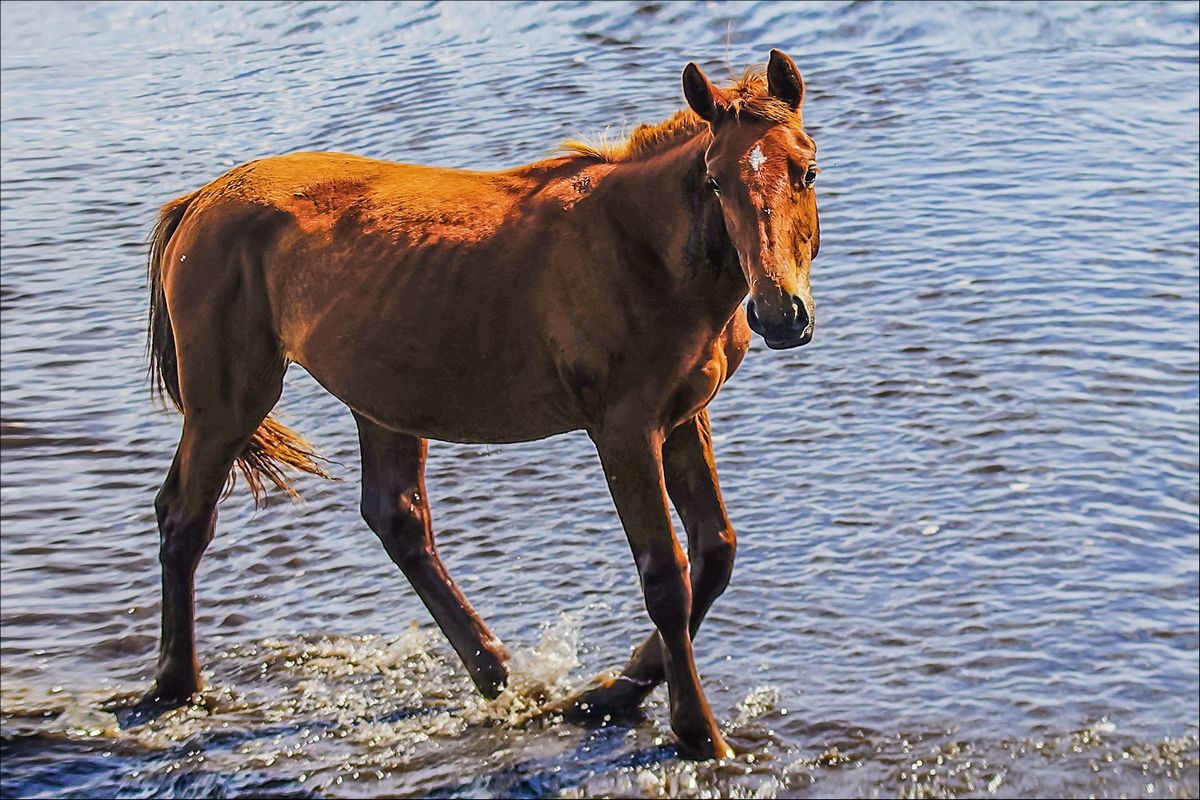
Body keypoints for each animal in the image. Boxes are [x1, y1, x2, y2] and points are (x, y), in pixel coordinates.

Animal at [140, 50, 816, 762]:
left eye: (807, 170)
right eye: (715, 182)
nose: (780, 313)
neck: (643, 251)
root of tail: (200, 200)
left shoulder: (684, 417)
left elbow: (716, 551)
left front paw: (607, 693)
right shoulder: (625, 430)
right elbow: (666, 576)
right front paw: (696, 731)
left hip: (382, 400)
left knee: (397, 518)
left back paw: (500, 674)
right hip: (228, 398)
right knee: (184, 516)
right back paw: (177, 683)